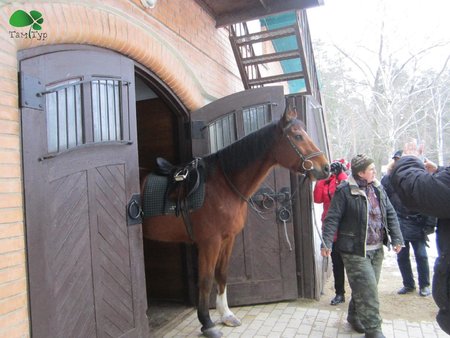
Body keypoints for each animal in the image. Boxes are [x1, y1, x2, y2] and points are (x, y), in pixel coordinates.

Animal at [142, 104, 328, 336]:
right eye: (297, 136)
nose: (326, 168)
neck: (222, 185)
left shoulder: (228, 239)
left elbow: (221, 274)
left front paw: (226, 315)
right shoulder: (209, 242)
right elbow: (206, 280)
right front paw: (207, 322)